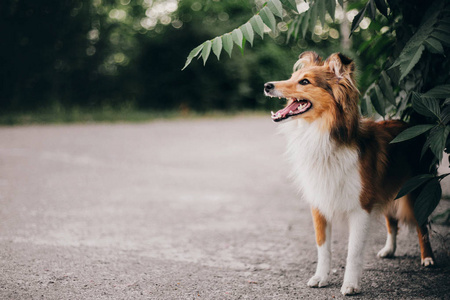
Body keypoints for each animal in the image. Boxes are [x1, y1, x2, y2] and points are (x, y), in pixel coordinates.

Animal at [266, 51, 434, 296]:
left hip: (417, 191)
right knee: (392, 221)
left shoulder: (360, 208)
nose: (267, 86)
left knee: (422, 226)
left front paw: (350, 285)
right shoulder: (319, 204)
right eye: (292, 77)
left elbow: (353, 252)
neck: (323, 135)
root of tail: (409, 124)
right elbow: (323, 248)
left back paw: (428, 258)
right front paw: (321, 277)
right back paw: (389, 249)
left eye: (304, 82)